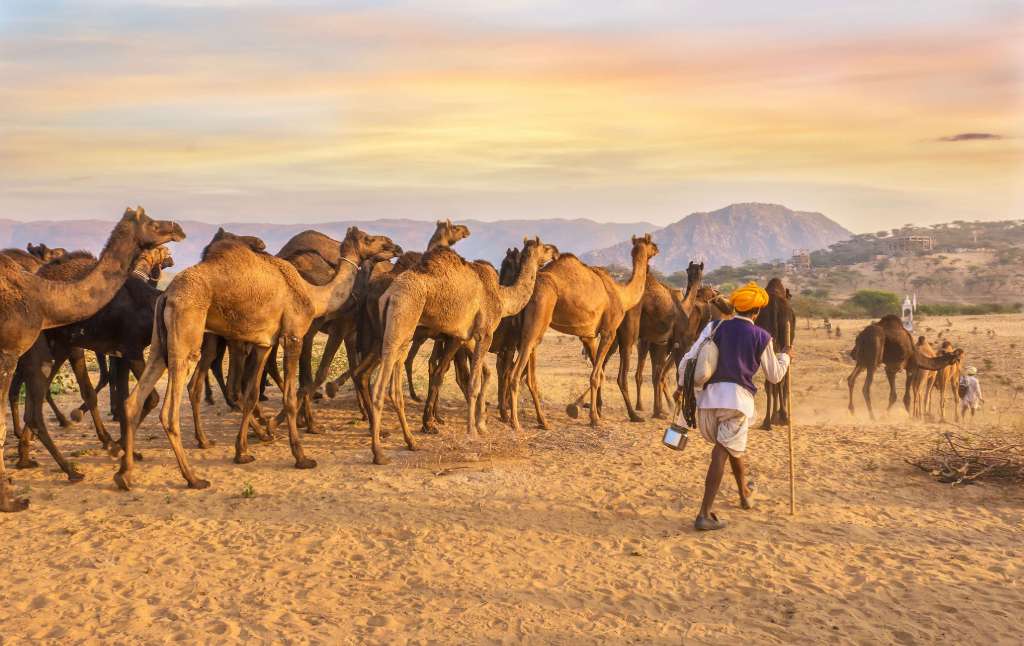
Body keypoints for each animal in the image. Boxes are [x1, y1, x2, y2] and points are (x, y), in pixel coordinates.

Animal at [0, 207, 184, 511]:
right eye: (154, 225)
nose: (178, 229)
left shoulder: (119, 352)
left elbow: (122, 395)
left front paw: (120, 447)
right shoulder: (128, 350)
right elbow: (139, 397)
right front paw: (117, 447)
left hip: (49, 351)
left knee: (33, 402)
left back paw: (32, 457)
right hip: (48, 350)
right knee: (34, 402)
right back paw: (61, 465)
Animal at [116, 227, 400, 490]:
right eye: (369, 239)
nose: (394, 245)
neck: (312, 293)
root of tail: (166, 294)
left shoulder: (265, 343)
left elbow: (252, 394)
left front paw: (242, 452)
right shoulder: (293, 335)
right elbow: (290, 396)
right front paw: (301, 456)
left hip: (159, 345)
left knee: (134, 400)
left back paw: (125, 475)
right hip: (186, 335)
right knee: (170, 411)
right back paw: (193, 478)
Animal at [368, 237, 559, 464]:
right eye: (545, 247)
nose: (555, 252)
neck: (502, 296)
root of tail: (389, 294)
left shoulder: (464, 336)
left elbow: (480, 375)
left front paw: (481, 424)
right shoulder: (485, 332)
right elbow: (473, 383)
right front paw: (473, 431)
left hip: (406, 332)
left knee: (396, 385)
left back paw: (411, 442)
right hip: (401, 319)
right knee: (379, 385)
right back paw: (379, 453)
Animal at [506, 234, 658, 433]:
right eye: (651, 244)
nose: (658, 248)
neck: (622, 295)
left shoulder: (589, 336)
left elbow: (600, 373)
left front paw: (592, 411)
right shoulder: (609, 331)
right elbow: (595, 376)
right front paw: (595, 418)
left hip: (527, 329)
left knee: (528, 374)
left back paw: (542, 421)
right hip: (537, 320)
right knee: (516, 372)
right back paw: (516, 423)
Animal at [755, 278, 796, 429]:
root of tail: (775, 307)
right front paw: (779, 415)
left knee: (771, 381)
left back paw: (768, 421)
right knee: (779, 379)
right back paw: (781, 417)